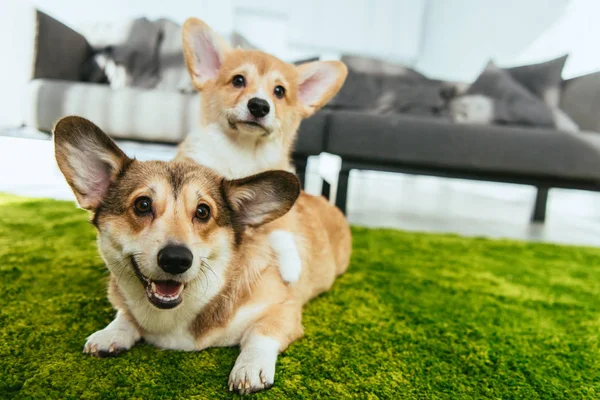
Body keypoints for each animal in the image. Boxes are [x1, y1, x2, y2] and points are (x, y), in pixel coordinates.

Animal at [54, 115, 352, 394]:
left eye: (202, 211)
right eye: (142, 205)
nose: (176, 259)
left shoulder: (284, 308)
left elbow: (259, 333)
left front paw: (250, 367)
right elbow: (125, 314)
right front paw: (112, 332)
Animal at [175, 18, 346, 284]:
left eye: (279, 91)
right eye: (238, 80)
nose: (259, 106)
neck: (243, 150)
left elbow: (281, 226)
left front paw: (291, 264)